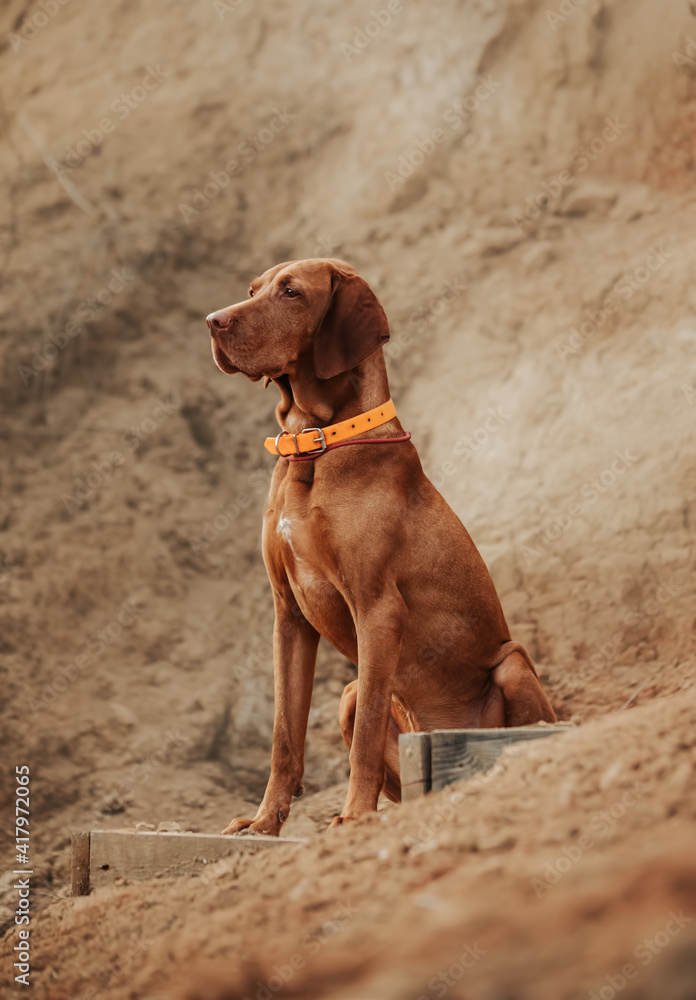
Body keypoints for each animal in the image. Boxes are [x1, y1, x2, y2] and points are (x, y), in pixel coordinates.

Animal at [205, 260, 556, 836]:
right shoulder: (288, 617)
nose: (212, 321)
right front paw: (264, 823)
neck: (316, 445)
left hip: (511, 662)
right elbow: (284, 735)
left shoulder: (377, 608)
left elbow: (367, 735)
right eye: (253, 289)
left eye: (291, 292)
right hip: (350, 695)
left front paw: (354, 815)